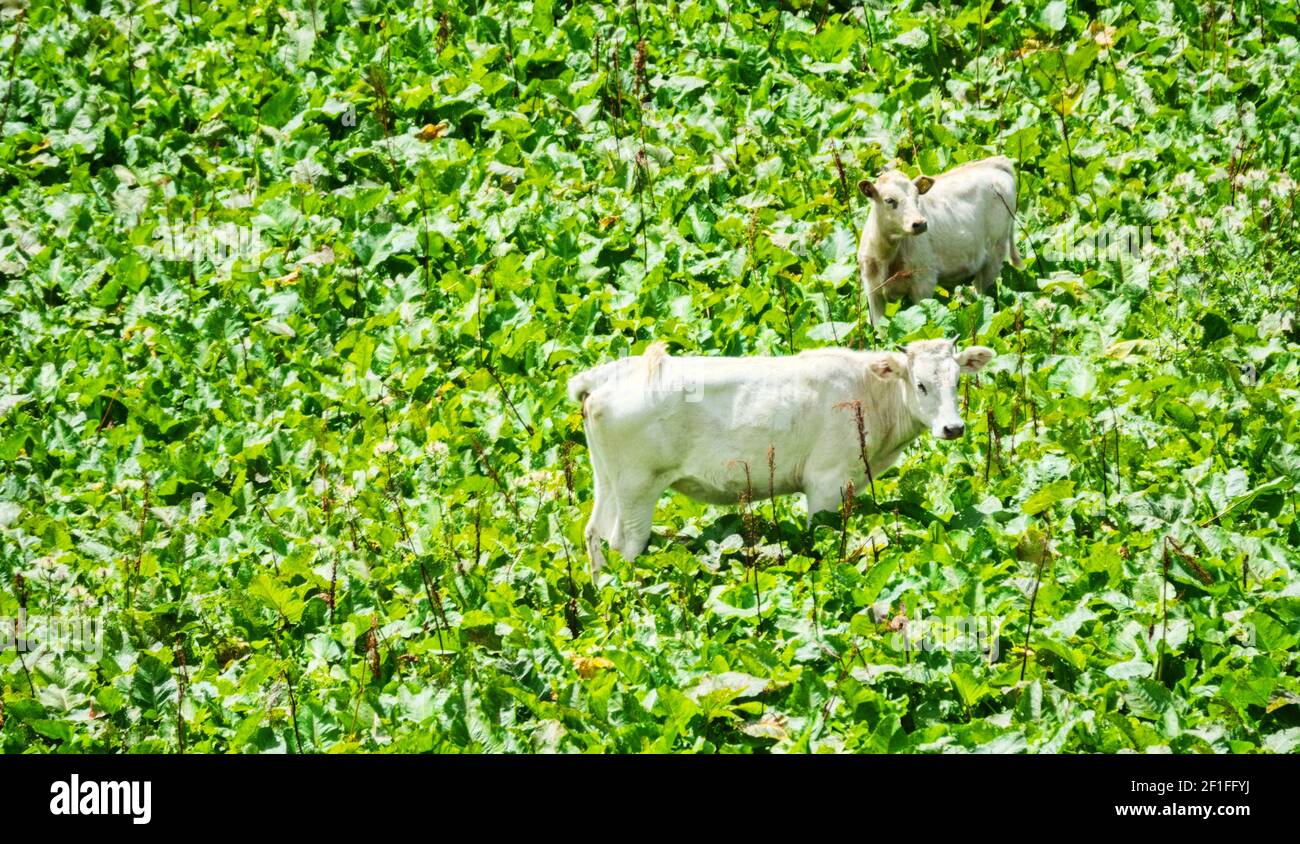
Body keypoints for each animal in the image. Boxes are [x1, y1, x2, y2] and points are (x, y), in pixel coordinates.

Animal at [566, 338, 993, 572]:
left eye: (957, 381)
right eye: (920, 385)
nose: (953, 427)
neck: (868, 392)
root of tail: (609, 374)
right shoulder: (826, 482)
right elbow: (822, 536)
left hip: (609, 481)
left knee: (595, 534)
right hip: (639, 485)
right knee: (624, 542)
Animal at [857, 154, 1019, 326]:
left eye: (917, 198)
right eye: (889, 200)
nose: (920, 223)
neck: (886, 256)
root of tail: (995, 162)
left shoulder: (924, 282)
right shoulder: (872, 293)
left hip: (995, 253)